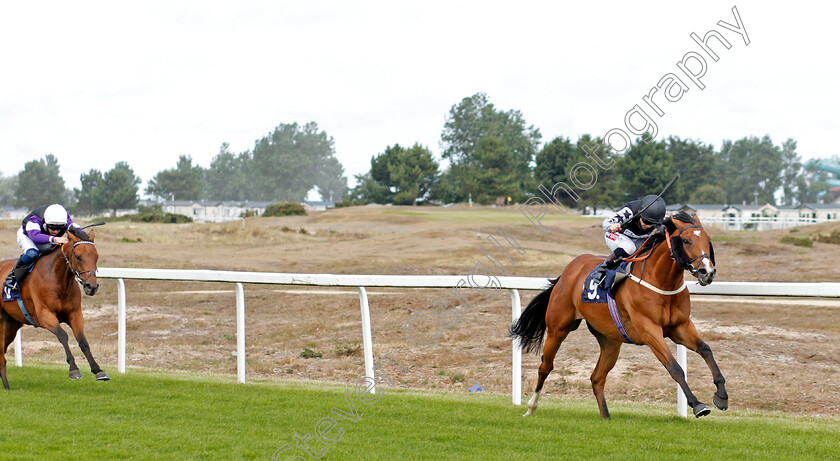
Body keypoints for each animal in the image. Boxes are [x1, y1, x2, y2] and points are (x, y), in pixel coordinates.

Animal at [0, 230, 110, 388]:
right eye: (78, 256)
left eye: (96, 256)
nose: (92, 287)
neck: (58, 280)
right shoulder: (45, 315)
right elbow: (63, 335)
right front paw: (74, 369)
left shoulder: (75, 314)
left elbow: (83, 341)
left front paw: (98, 370)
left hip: (11, 325)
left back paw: (7, 387)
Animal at [512, 211, 728, 416]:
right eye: (686, 240)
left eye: (707, 239)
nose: (707, 272)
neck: (661, 281)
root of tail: (566, 273)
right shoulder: (649, 330)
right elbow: (674, 366)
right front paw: (698, 404)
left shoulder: (680, 326)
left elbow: (705, 349)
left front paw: (721, 395)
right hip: (558, 328)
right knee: (545, 367)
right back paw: (531, 407)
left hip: (610, 342)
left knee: (597, 378)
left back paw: (606, 417)